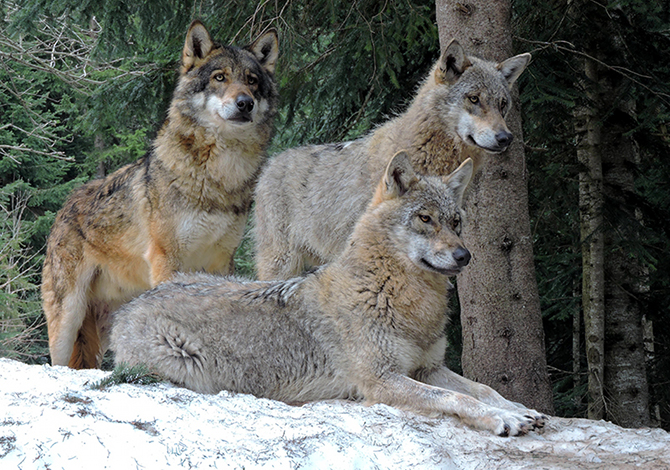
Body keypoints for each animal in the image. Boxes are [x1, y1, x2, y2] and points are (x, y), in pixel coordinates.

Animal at [40, 20, 280, 370]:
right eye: (220, 77)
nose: (245, 103)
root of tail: (65, 208)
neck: (218, 177)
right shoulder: (167, 257)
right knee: (57, 362)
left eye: (251, 81)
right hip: (67, 317)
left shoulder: (222, 260)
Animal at [111, 151, 544, 436]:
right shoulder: (381, 381)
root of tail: (129, 306)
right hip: (187, 366)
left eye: (456, 222)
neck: (397, 295)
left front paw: (520, 409)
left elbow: (484, 388)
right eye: (425, 218)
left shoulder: (428, 367)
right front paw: (504, 419)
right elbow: (458, 399)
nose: (464, 255)